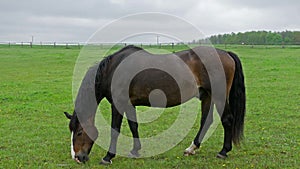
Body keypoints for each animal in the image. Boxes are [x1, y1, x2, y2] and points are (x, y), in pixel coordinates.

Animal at [63, 44, 246, 164]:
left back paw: (223, 151)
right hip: (207, 95)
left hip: (219, 96)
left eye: (79, 132)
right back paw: (191, 148)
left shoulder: (118, 104)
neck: (113, 69)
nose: (77, 158)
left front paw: (108, 157)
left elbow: (115, 130)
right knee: (206, 122)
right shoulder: (129, 104)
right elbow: (134, 126)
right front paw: (135, 150)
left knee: (227, 120)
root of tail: (226, 53)